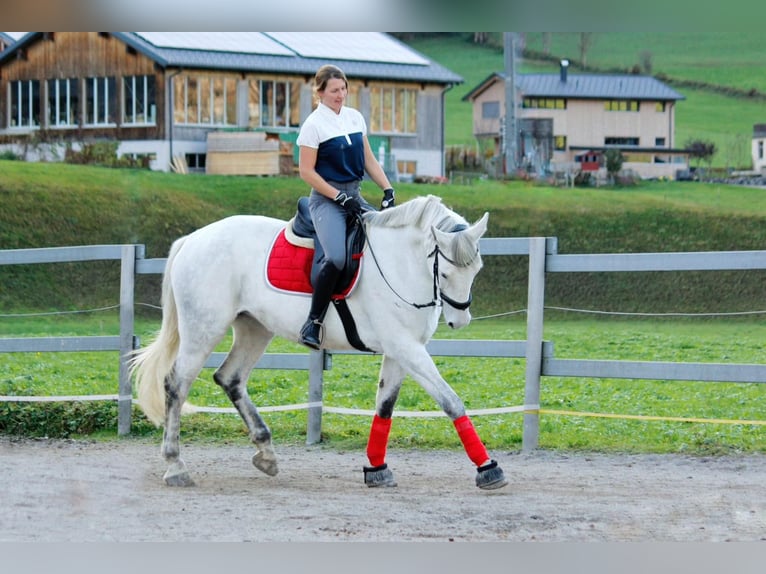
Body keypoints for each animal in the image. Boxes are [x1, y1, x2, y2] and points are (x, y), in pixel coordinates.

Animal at [130, 194, 508, 490]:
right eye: (445, 272)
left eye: (476, 270)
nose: (459, 321)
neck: (399, 264)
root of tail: (192, 240)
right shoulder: (406, 348)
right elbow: (451, 401)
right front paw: (488, 468)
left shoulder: (401, 350)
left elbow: (384, 407)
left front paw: (376, 469)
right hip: (203, 330)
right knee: (176, 384)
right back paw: (176, 466)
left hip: (254, 329)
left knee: (230, 378)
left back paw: (266, 453)